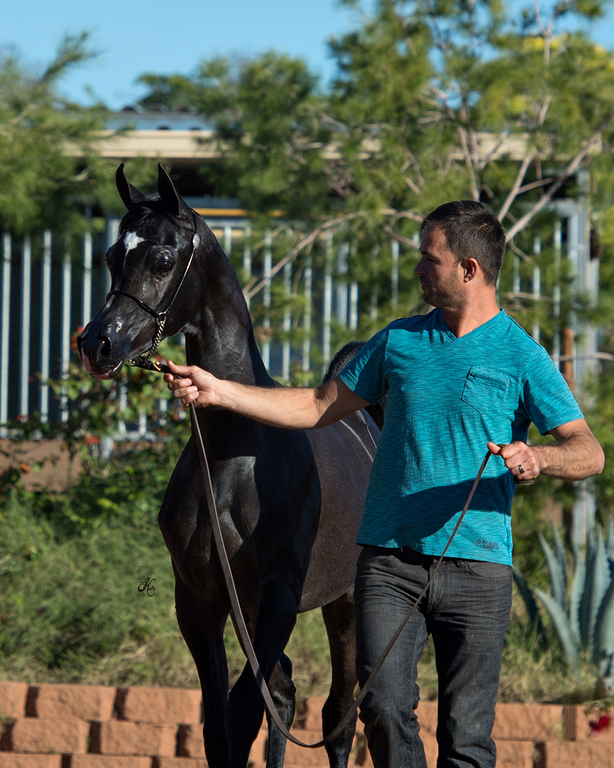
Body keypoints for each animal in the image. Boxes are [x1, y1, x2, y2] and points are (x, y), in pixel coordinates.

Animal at [78, 164, 380, 768]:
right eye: (110, 256)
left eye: (162, 260)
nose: (97, 343)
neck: (232, 458)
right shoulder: (201, 602)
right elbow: (221, 726)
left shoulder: (278, 600)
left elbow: (242, 717)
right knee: (286, 696)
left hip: (347, 605)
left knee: (339, 714)